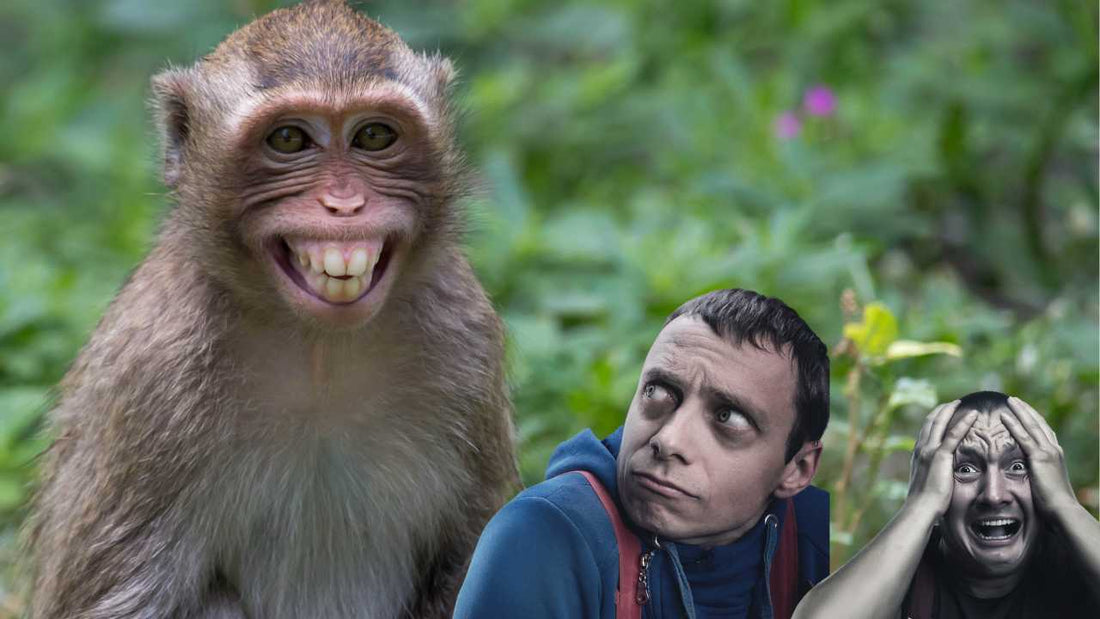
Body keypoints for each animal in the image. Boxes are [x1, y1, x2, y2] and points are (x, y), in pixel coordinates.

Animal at [25, 1, 519, 617]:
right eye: (287, 139)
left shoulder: (465, 333)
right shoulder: (152, 369)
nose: (344, 204)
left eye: (374, 135)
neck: (319, 351)